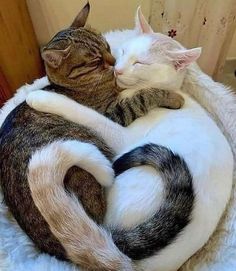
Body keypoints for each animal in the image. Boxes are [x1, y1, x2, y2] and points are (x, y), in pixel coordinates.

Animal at [26, 7, 234, 271]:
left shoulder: (120, 132)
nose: (118, 69)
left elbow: (86, 113)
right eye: (124, 51)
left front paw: (42, 98)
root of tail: (124, 260)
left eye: (141, 63)